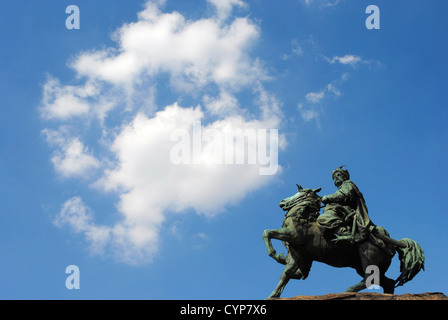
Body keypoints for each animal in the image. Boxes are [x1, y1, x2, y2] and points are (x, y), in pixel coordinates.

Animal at [264, 186, 426, 298]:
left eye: (302, 192)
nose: (282, 202)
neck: (302, 218)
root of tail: (392, 242)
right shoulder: (297, 254)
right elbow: (286, 274)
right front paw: (273, 294)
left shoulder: (292, 235)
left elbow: (267, 233)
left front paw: (274, 253)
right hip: (362, 266)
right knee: (388, 282)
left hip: (366, 258)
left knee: (370, 278)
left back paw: (349, 290)